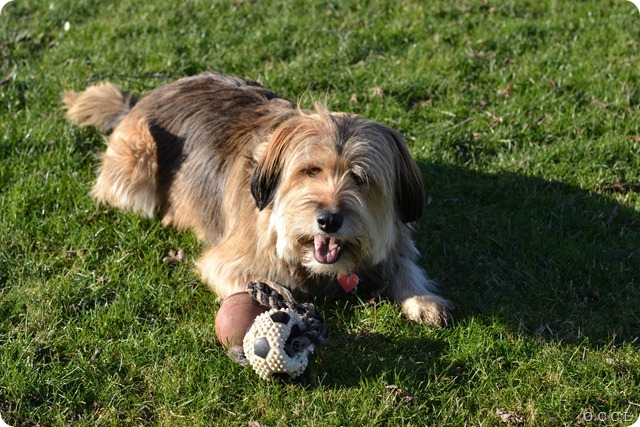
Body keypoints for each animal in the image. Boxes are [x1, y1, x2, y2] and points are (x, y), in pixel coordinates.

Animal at [62, 72, 452, 326]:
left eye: (360, 178)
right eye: (310, 170)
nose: (328, 220)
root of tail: (137, 102)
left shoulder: (394, 242)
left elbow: (406, 267)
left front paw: (424, 301)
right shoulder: (228, 260)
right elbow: (246, 279)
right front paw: (279, 300)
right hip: (138, 156)